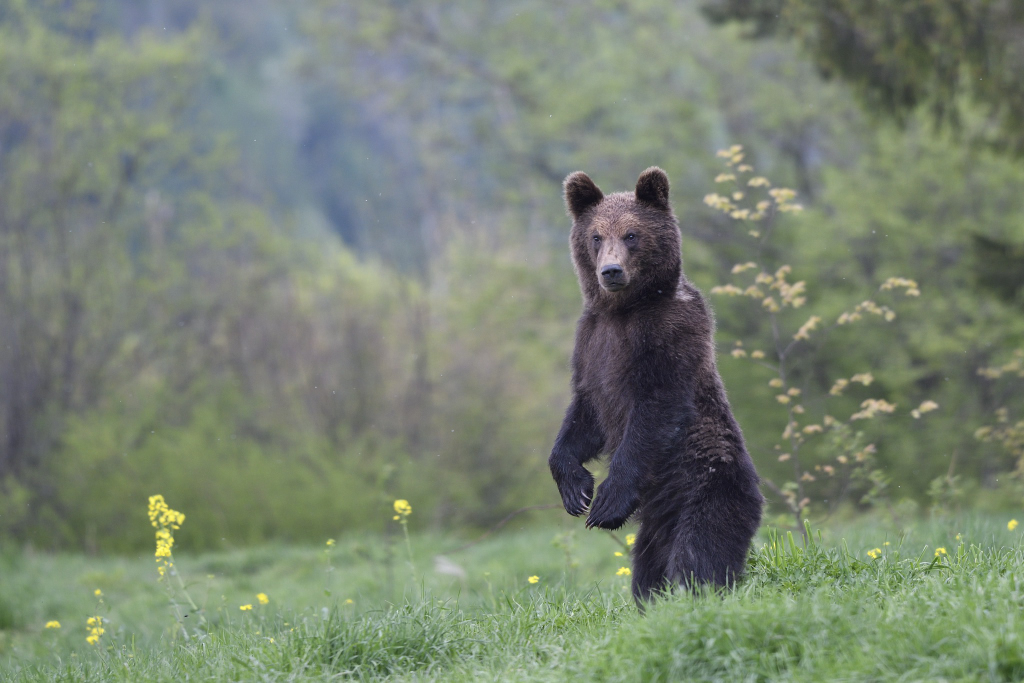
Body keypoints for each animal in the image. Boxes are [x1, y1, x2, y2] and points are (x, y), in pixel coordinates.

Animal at [552, 167, 761, 606]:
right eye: (596, 236)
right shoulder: (591, 346)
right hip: (650, 534)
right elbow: (584, 415)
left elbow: (653, 413)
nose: (610, 271)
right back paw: (651, 599)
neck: (624, 310)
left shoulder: (667, 337)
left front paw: (605, 502)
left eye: (632, 234)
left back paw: (697, 591)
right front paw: (576, 490)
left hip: (708, 489)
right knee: (647, 571)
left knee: (700, 553)